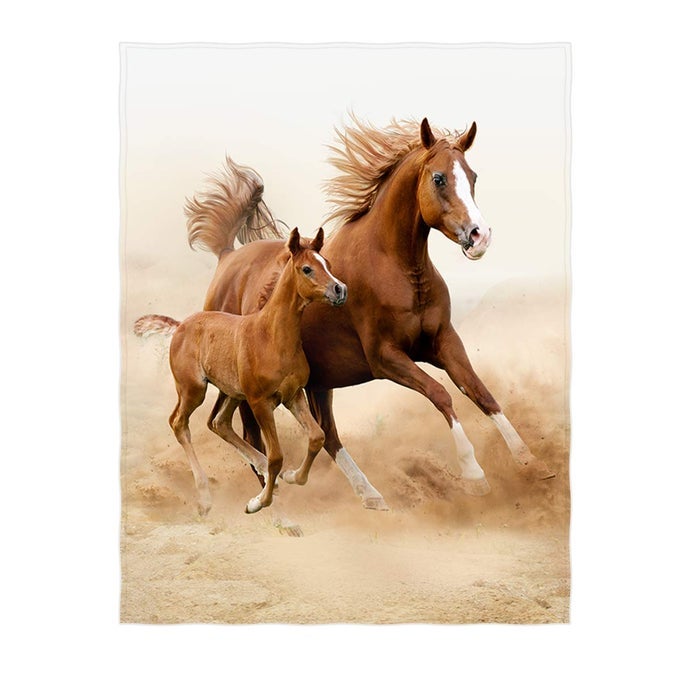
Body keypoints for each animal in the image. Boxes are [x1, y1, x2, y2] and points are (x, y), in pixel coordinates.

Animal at [134, 227, 347, 517]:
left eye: (328, 264)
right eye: (307, 269)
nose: (340, 289)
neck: (272, 336)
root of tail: (180, 326)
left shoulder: (293, 396)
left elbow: (316, 437)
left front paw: (292, 476)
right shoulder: (260, 402)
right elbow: (277, 456)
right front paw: (257, 502)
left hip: (232, 392)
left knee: (219, 422)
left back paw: (263, 472)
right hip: (194, 390)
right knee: (179, 423)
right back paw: (205, 498)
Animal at [183, 115, 554, 513]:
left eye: (472, 176)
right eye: (439, 178)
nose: (479, 236)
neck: (397, 267)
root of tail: (226, 257)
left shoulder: (443, 342)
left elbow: (480, 392)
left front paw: (532, 463)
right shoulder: (385, 357)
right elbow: (441, 394)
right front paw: (474, 475)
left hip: (318, 381)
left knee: (326, 434)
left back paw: (369, 494)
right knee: (248, 431)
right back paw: (273, 498)